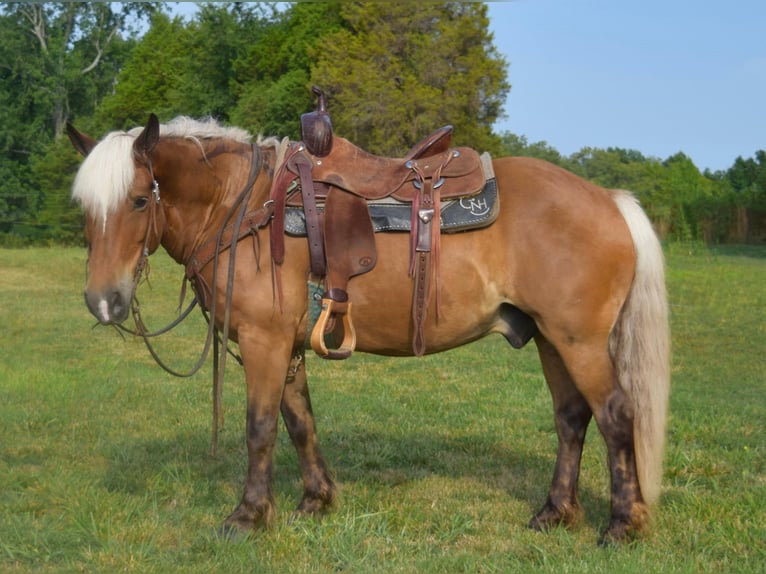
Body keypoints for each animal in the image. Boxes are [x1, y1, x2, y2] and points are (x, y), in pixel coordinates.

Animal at [67, 113, 672, 548]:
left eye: (139, 200)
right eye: (84, 210)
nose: (104, 301)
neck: (242, 207)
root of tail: (609, 199)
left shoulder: (264, 341)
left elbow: (260, 428)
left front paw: (248, 516)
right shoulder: (286, 345)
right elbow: (299, 422)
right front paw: (316, 501)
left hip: (580, 342)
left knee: (616, 415)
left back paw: (623, 525)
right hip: (551, 339)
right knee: (571, 418)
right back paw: (554, 513)